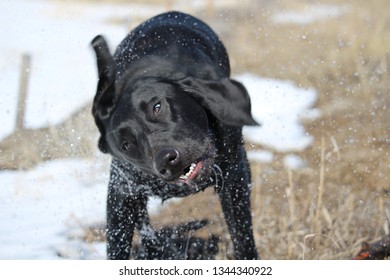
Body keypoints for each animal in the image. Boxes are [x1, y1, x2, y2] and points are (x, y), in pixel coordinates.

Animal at [91, 10, 258, 260]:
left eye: (157, 107)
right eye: (126, 144)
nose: (167, 160)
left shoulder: (233, 179)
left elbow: (242, 237)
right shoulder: (121, 192)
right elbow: (118, 245)